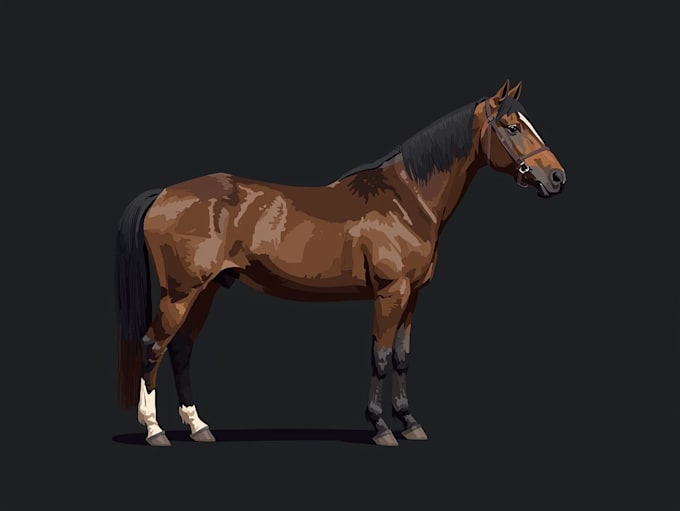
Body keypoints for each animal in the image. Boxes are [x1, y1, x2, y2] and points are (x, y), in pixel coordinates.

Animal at [115, 80, 566, 447]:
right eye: (512, 127)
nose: (558, 178)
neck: (407, 200)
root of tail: (164, 193)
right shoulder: (390, 294)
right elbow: (380, 356)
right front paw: (381, 428)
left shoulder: (413, 296)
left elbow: (402, 356)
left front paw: (410, 423)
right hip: (180, 294)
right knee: (154, 345)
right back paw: (155, 430)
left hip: (206, 291)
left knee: (181, 349)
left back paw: (198, 427)